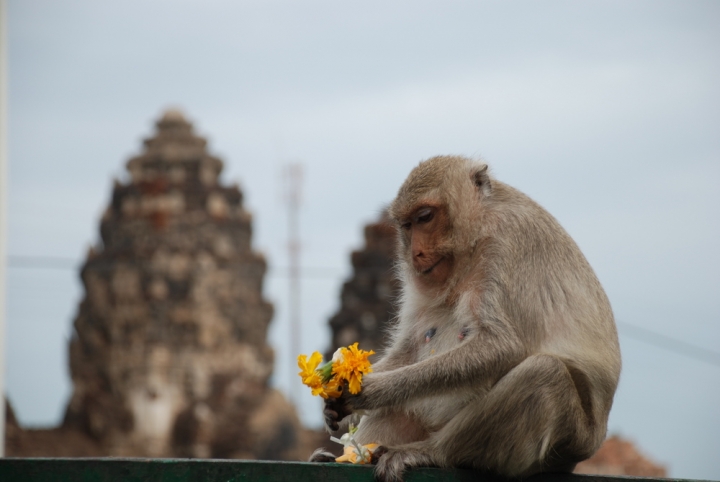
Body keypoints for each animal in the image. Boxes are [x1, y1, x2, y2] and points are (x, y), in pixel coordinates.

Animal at [310, 155, 620, 482]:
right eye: (407, 225)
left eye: (425, 217)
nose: (416, 252)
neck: (473, 241)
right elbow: (410, 348)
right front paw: (335, 401)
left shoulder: (507, 243)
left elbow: (502, 346)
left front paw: (373, 390)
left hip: (566, 443)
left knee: (544, 372)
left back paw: (429, 452)